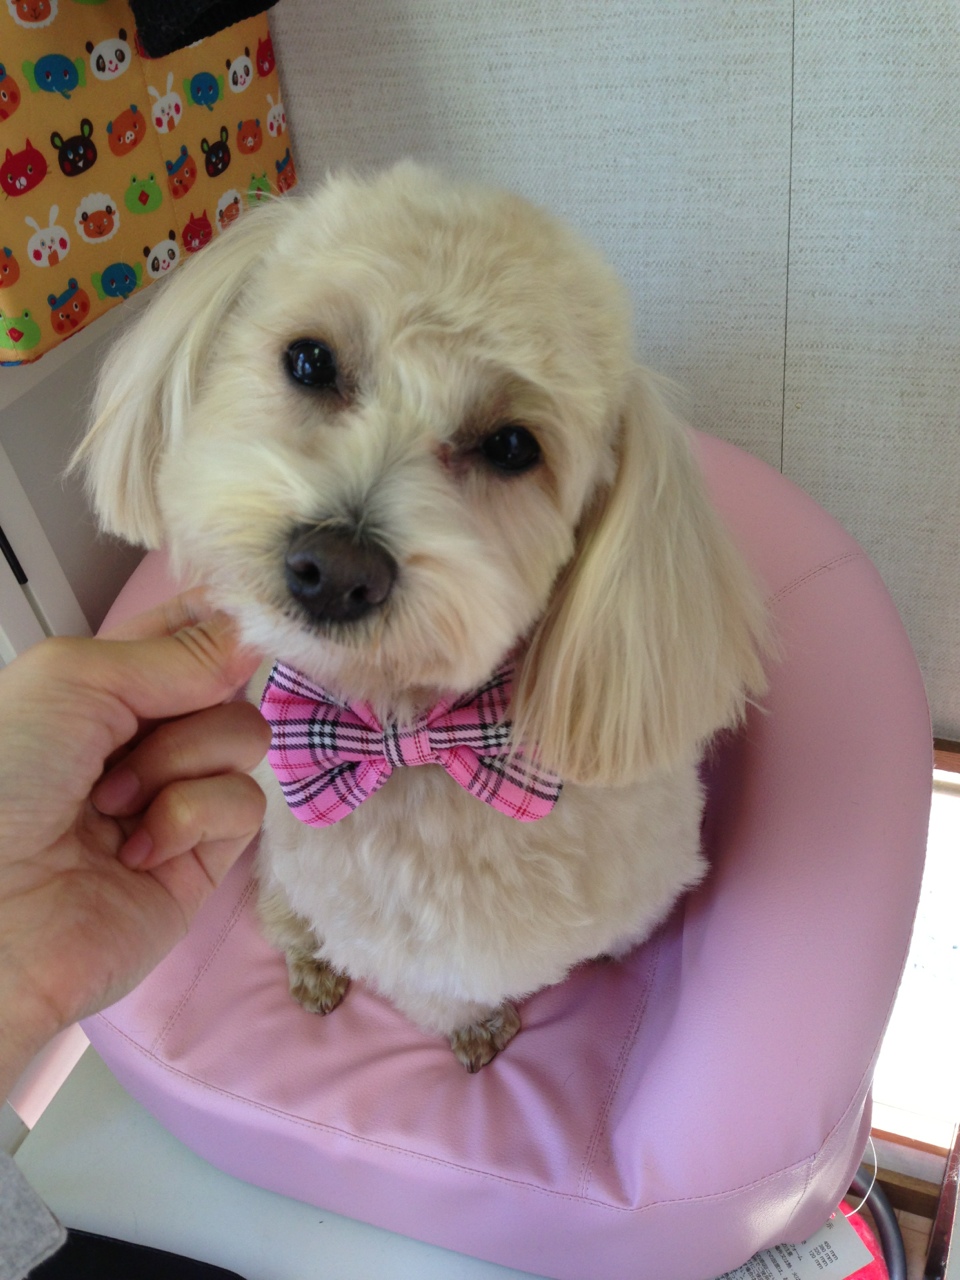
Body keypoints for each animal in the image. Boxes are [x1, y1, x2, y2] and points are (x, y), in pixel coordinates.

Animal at [75, 163, 768, 1071]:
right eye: (310, 359)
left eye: (512, 447)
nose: (335, 571)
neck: (414, 743)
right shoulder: (380, 927)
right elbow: (435, 986)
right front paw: (472, 1025)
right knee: (280, 907)